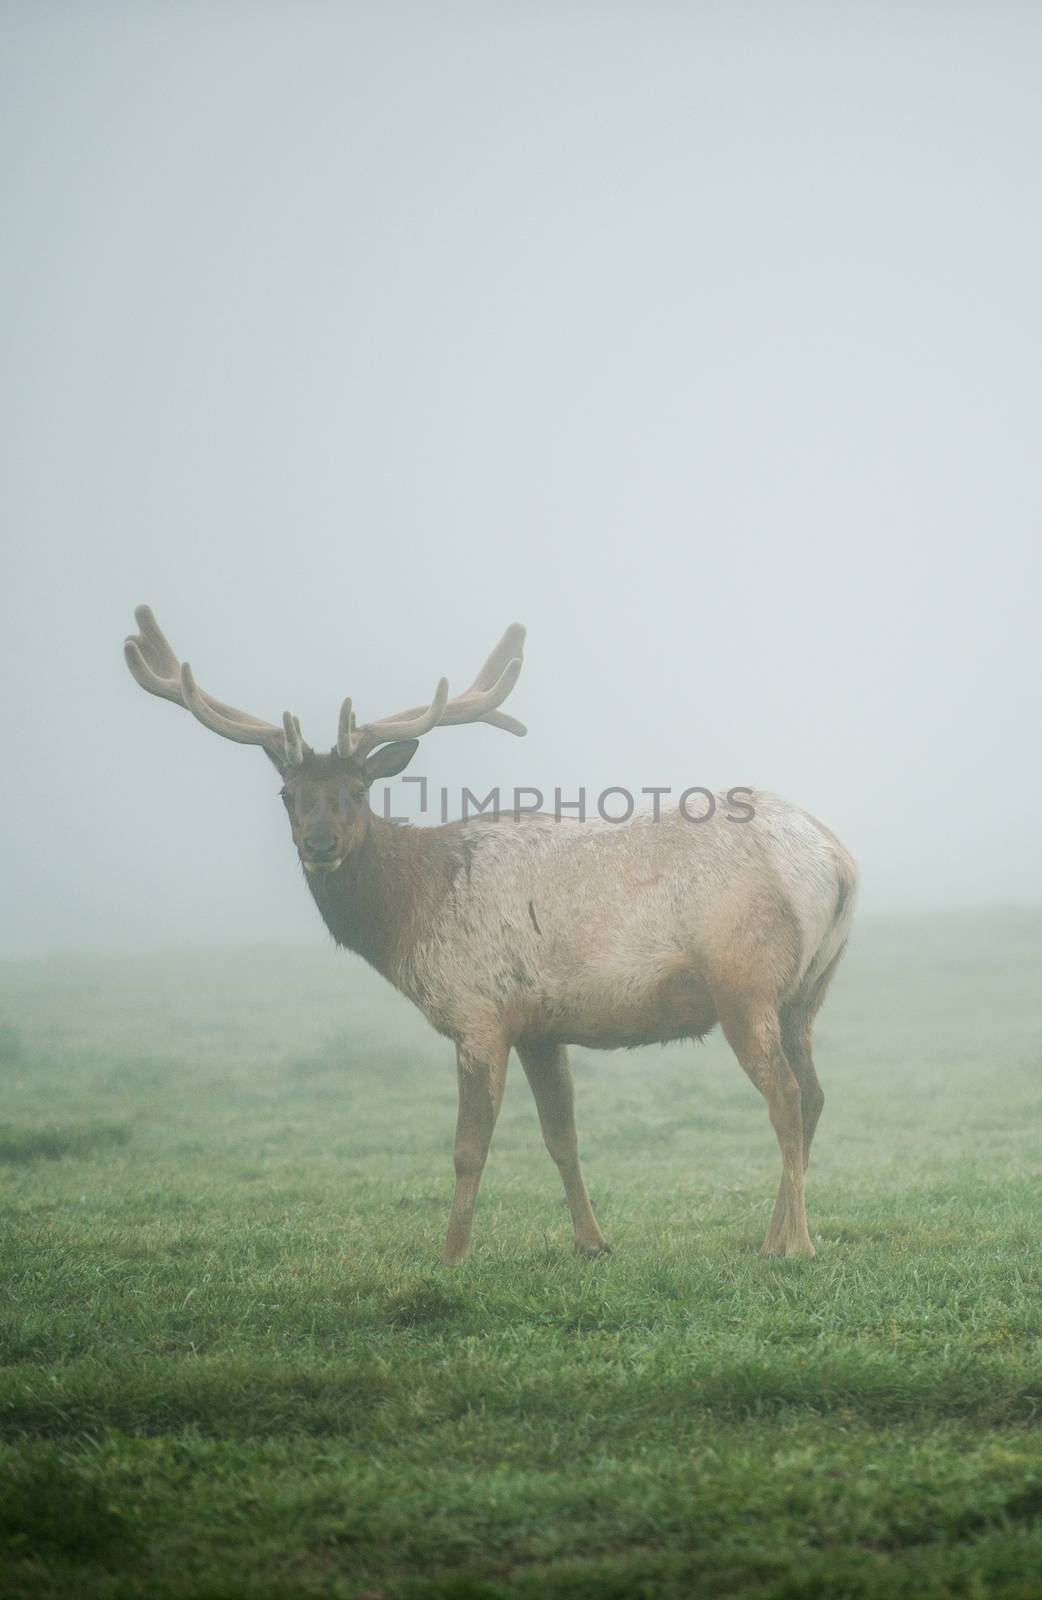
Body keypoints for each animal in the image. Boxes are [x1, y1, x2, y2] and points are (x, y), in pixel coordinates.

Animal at [124, 608, 857, 1260]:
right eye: (287, 794)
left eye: (358, 791)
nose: (320, 844)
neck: (410, 916)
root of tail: (838, 860)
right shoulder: (539, 1024)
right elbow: (561, 1136)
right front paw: (592, 1242)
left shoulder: (477, 1009)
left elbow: (467, 1148)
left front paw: (451, 1254)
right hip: (807, 992)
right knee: (816, 1095)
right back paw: (773, 1237)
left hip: (745, 980)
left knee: (787, 1096)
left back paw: (795, 1244)